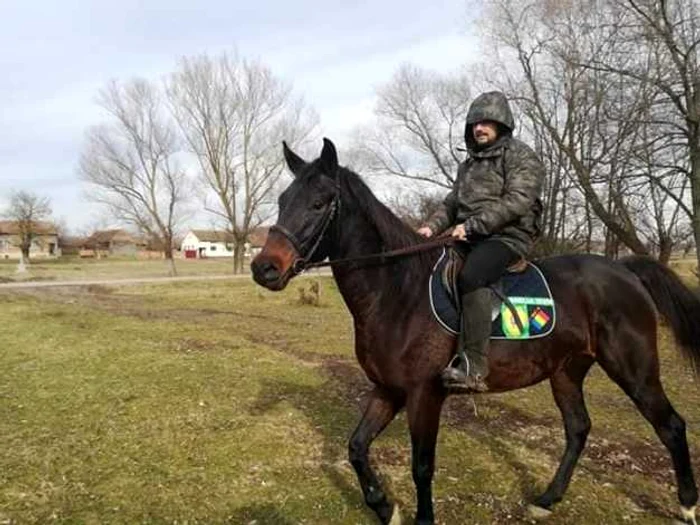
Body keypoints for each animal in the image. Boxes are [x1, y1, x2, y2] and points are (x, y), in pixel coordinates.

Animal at [250, 137, 700, 520]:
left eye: (319, 202)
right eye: (284, 200)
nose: (264, 268)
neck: (399, 290)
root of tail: (625, 270)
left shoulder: (424, 394)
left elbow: (422, 466)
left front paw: (420, 517)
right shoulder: (388, 390)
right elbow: (357, 447)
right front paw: (384, 507)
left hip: (634, 369)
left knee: (671, 426)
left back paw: (688, 506)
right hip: (567, 371)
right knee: (578, 429)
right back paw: (546, 500)